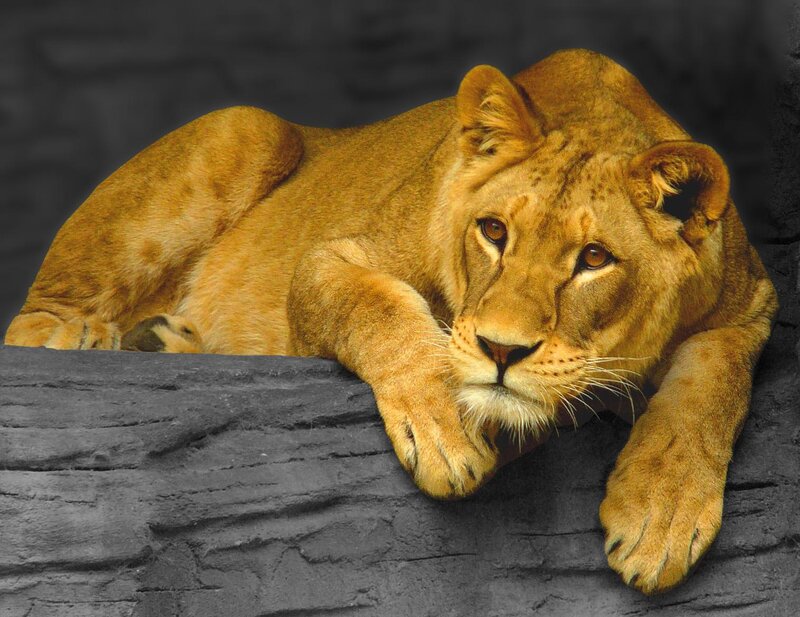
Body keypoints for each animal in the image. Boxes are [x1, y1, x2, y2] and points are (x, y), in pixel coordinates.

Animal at [4, 49, 777, 594]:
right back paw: (86, 337)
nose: (501, 349)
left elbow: (712, 383)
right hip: (246, 128)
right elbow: (383, 311)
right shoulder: (330, 258)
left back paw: (166, 342)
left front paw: (660, 517)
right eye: (494, 231)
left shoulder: (755, 305)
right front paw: (445, 431)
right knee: (29, 325)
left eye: (594, 258)